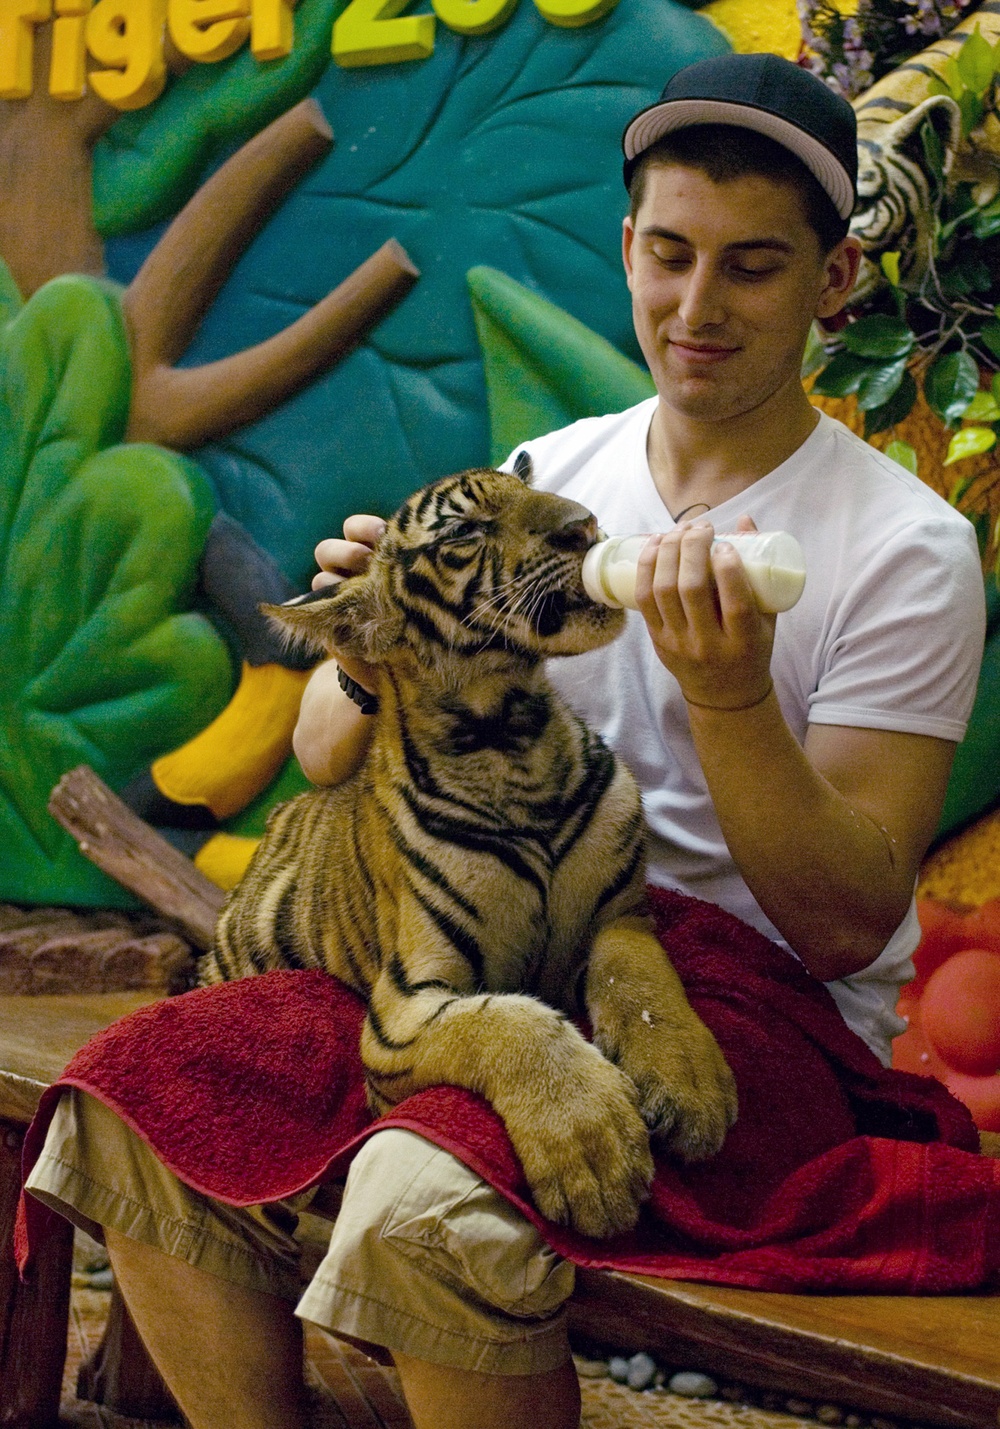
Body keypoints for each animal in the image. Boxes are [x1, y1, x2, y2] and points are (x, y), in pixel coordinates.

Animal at [202, 464, 737, 1240]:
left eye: (525, 489)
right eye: (464, 529)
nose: (583, 525)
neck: (512, 738)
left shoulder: (621, 916)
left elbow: (642, 985)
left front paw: (692, 1088)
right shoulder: (403, 1007)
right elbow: (510, 1024)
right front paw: (593, 1151)